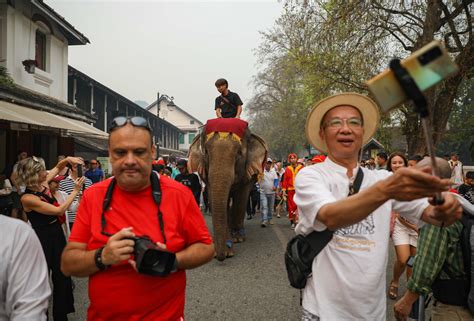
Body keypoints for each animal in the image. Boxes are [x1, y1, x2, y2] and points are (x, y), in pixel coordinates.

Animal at [188, 117, 266, 260]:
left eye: (239, 154)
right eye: (206, 153)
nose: (220, 256)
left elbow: (241, 198)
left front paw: (237, 239)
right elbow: (216, 199)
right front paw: (227, 248)